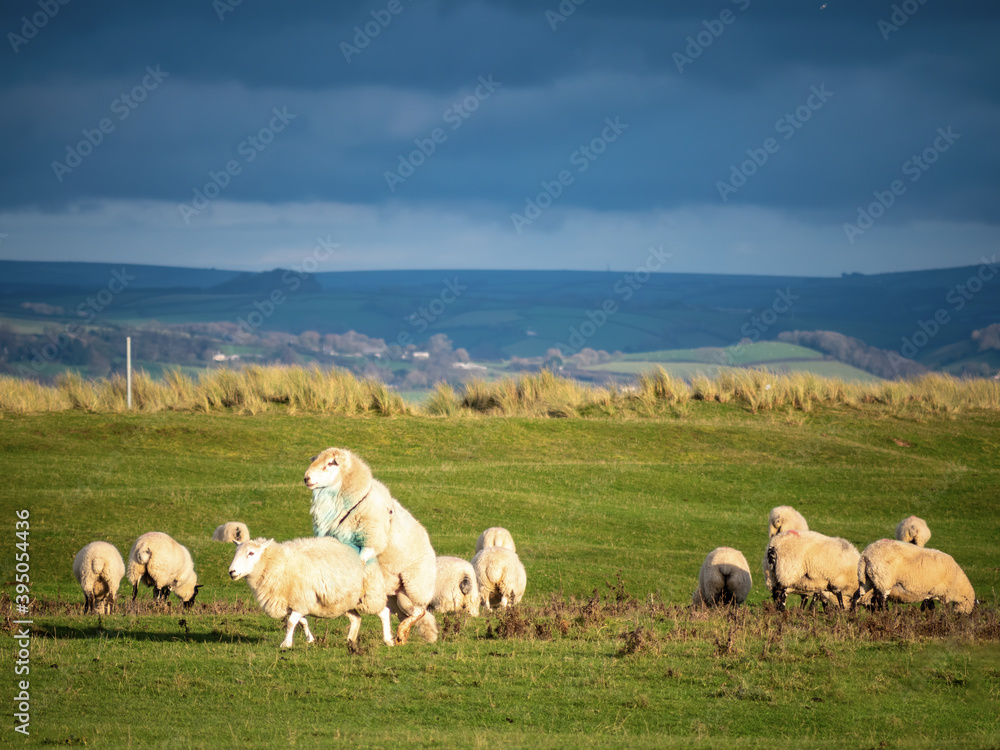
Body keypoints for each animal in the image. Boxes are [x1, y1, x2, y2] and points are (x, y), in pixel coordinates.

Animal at [229, 536, 390, 649]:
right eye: (236, 553)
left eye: (251, 553)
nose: (232, 572)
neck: (278, 564)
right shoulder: (296, 603)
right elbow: (303, 621)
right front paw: (310, 640)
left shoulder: (301, 599)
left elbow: (291, 622)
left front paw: (286, 644)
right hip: (346, 601)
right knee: (356, 619)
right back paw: (350, 640)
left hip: (370, 595)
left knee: (384, 612)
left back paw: (388, 640)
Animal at [304, 447, 438, 644]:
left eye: (331, 463)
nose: (306, 478)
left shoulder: (372, 540)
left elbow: (361, 560)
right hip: (398, 597)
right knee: (409, 613)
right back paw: (401, 636)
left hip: (415, 585)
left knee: (420, 611)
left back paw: (401, 632)